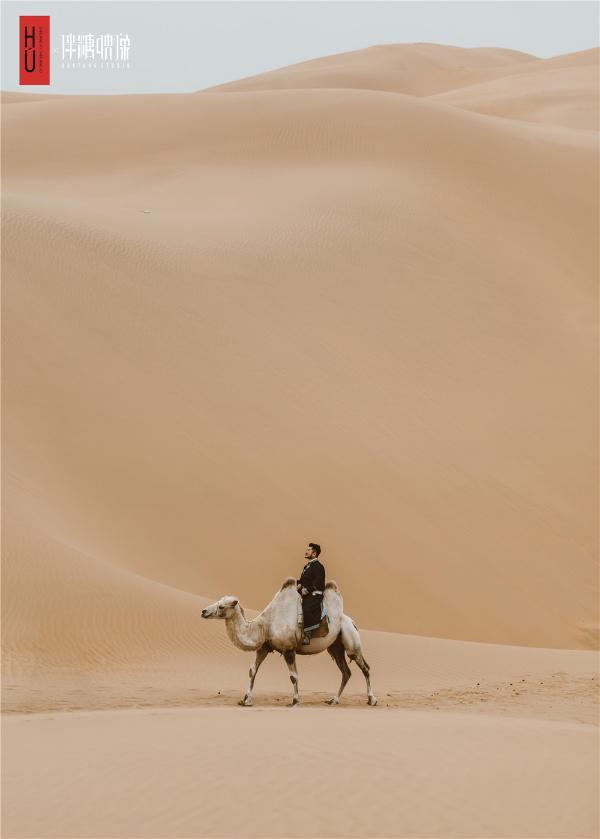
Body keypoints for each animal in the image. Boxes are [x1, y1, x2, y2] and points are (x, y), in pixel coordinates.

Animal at [204, 576, 378, 704]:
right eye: (218, 602)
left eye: (221, 606)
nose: (204, 611)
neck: (265, 626)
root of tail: (352, 622)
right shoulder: (264, 647)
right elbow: (252, 670)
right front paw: (246, 700)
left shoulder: (288, 649)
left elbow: (293, 676)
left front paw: (295, 700)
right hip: (335, 647)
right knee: (346, 672)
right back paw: (334, 700)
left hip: (351, 641)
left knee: (365, 667)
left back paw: (372, 699)